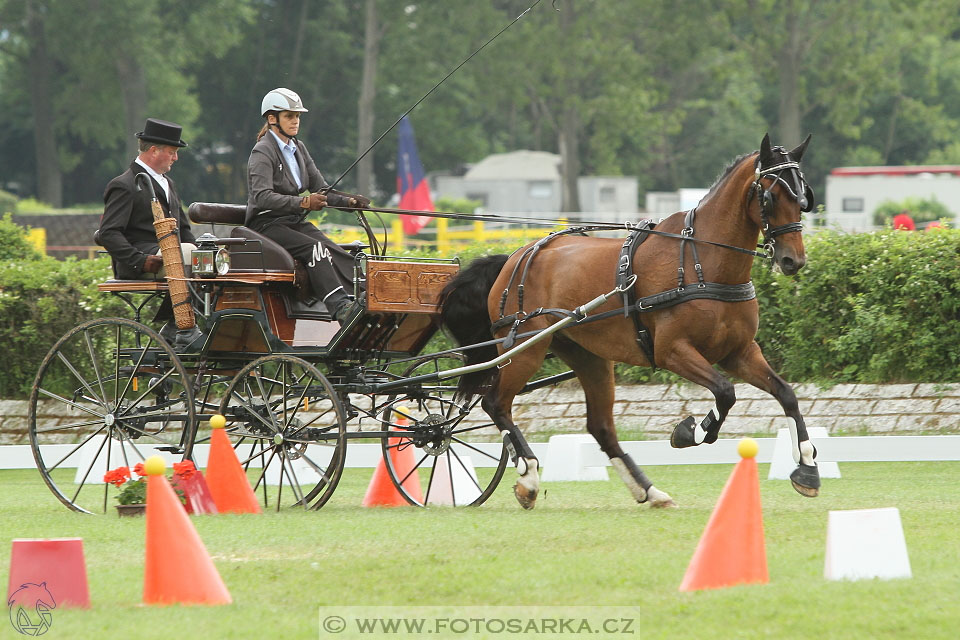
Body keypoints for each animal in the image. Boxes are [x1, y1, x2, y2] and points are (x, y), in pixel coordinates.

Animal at [438, 134, 820, 510]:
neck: (701, 262)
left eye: (803, 196)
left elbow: (786, 394)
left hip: (588, 356)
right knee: (495, 404)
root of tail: (516, 256)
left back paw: (649, 491)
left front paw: (807, 468)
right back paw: (528, 477)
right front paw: (689, 432)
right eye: (770, 196)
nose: (794, 260)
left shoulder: (738, 352)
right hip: (524, 348)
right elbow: (725, 393)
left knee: (600, 426)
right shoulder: (672, 351)